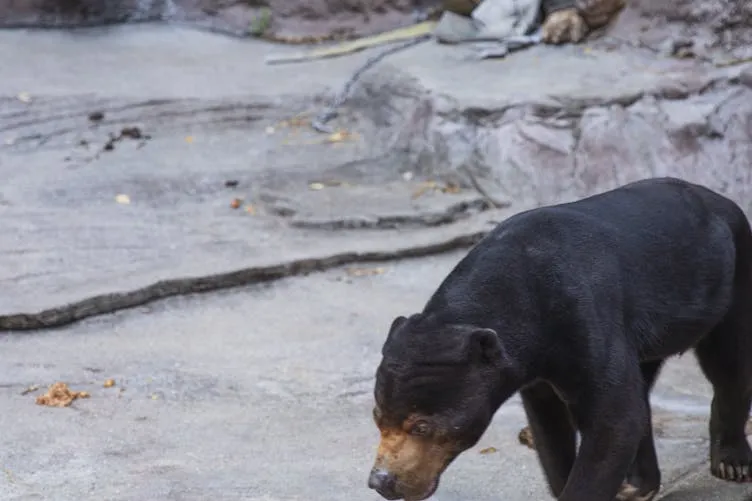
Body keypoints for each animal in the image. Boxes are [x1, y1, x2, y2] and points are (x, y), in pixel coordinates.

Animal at [367, 177, 752, 501]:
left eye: (422, 426)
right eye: (377, 415)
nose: (381, 481)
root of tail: (720, 199)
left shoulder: (583, 316)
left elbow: (615, 416)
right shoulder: (536, 367)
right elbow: (551, 425)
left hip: (732, 278)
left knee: (729, 364)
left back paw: (731, 461)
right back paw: (639, 484)